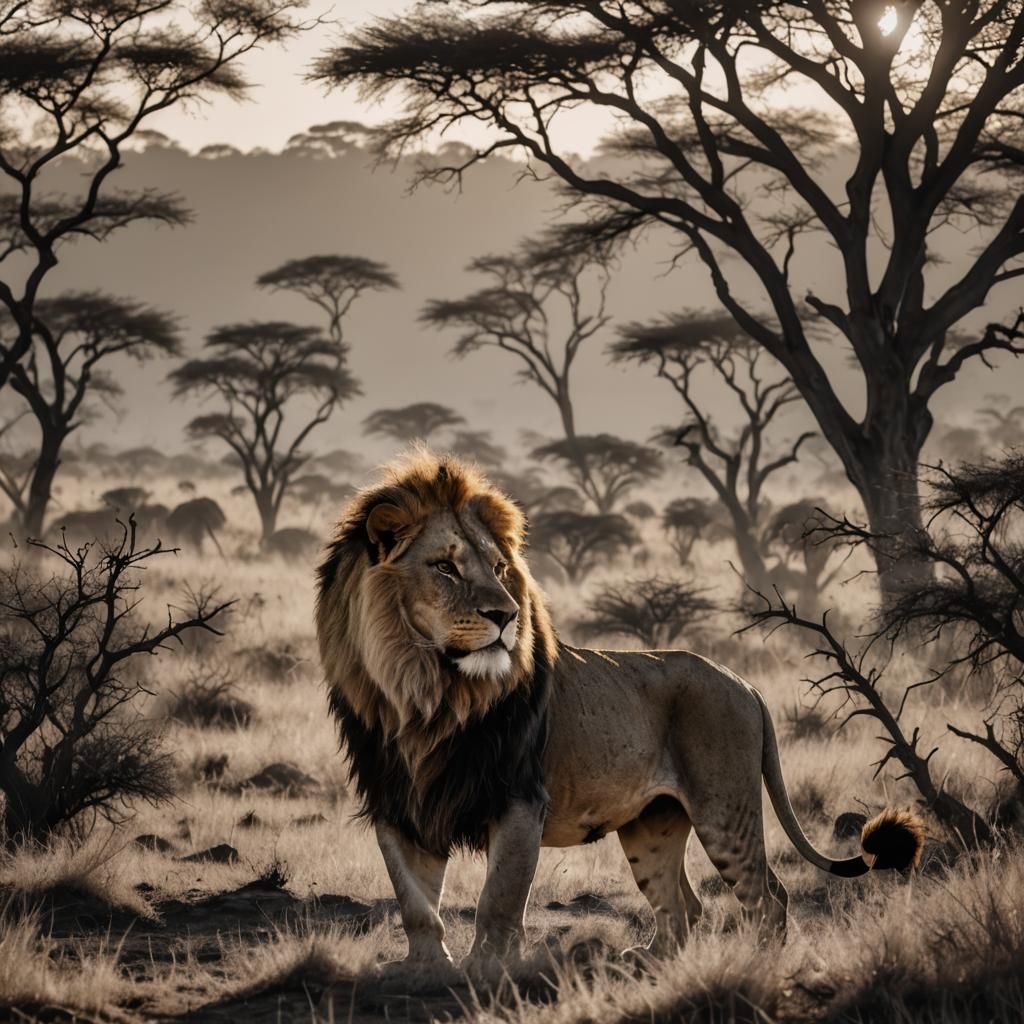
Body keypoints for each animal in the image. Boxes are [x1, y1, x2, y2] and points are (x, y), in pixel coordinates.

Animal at [315, 450, 923, 968]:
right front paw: (425, 971)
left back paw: (759, 964)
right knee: (682, 906)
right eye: (445, 567)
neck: (425, 694)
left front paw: (486, 971)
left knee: (766, 895)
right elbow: (416, 903)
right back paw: (650, 962)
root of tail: (744, 683)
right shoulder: (399, 804)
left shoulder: (520, 800)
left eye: (499, 568)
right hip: (651, 824)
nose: (506, 615)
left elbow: (500, 899)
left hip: (724, 806)